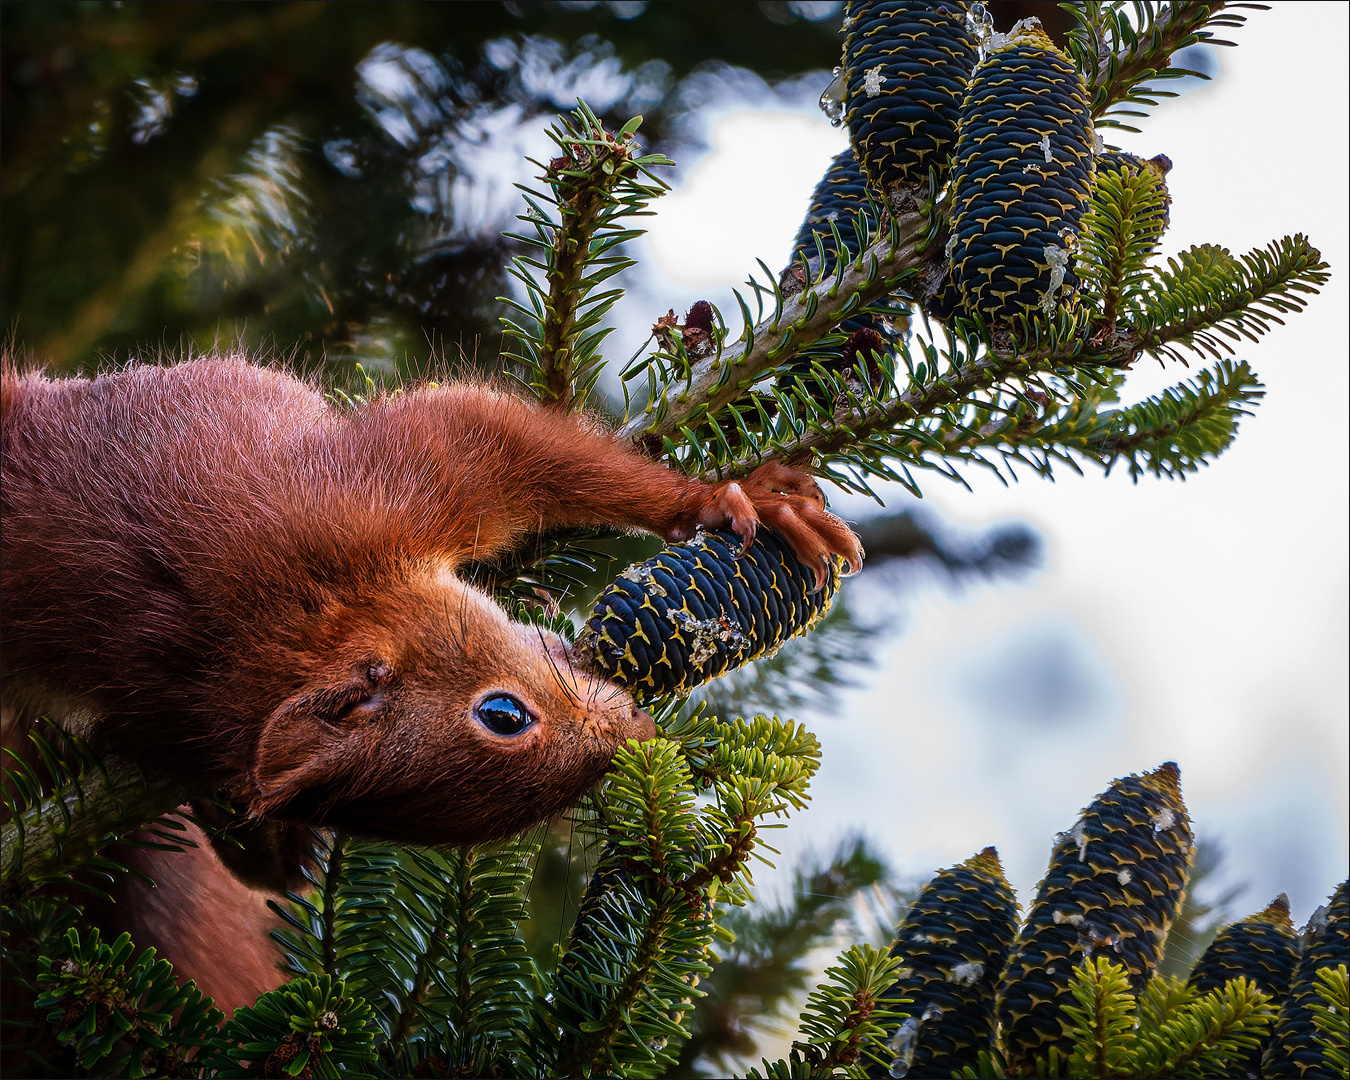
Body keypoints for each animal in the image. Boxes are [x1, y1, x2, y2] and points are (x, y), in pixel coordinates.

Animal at [0, 359, 864, 1009]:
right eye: (505, 716)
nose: (636, 736)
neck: (289, 629)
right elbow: (483, 427)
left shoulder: (358, 504)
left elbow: (502, 435)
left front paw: (726, 498)